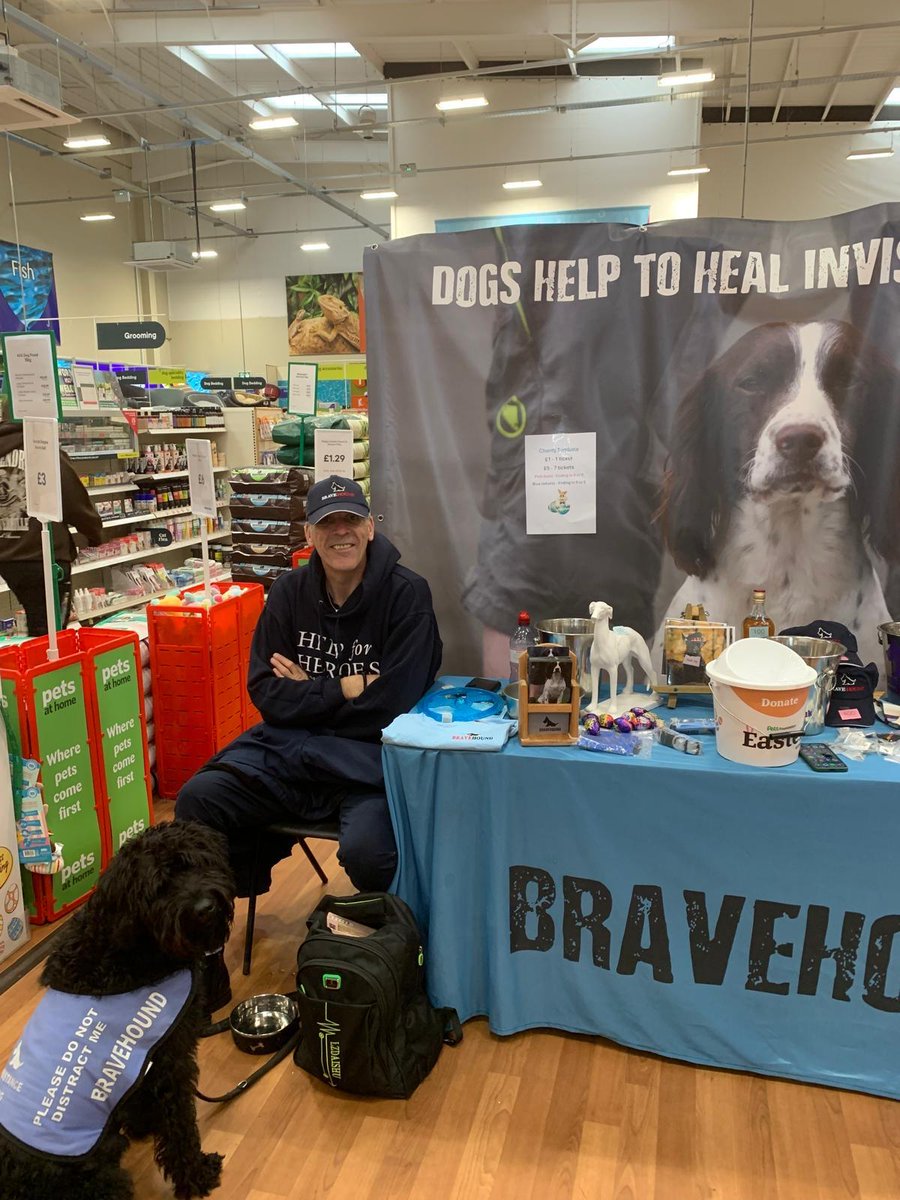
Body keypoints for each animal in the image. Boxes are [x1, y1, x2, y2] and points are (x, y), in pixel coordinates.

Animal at [0, 820, 236, 1200]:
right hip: (101, 1181)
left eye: (193, 863)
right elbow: (180, 1129)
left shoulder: (140, 1066)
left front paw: (142, 1123)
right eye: (158, 888)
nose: (204, 908)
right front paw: (197, 1175)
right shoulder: (169, 1063)